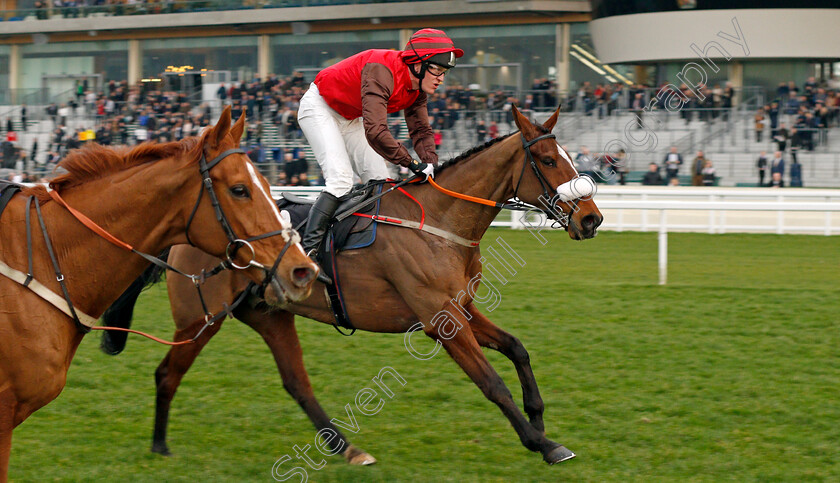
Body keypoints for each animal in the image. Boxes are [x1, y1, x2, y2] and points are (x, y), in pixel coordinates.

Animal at [101, 107, 600, 468]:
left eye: (571, 156)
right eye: (549, 160)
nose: (591, 218)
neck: (440, 222)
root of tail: (182, 230)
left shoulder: (461, 308)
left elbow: (517, 348)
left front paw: (538, 417)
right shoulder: (439, 319)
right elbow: (492, 382)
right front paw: (543, 443)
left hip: (268, 314)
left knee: (296, 383)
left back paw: (346, 448)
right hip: (200, 319)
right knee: (167, 374)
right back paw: (160, 447)